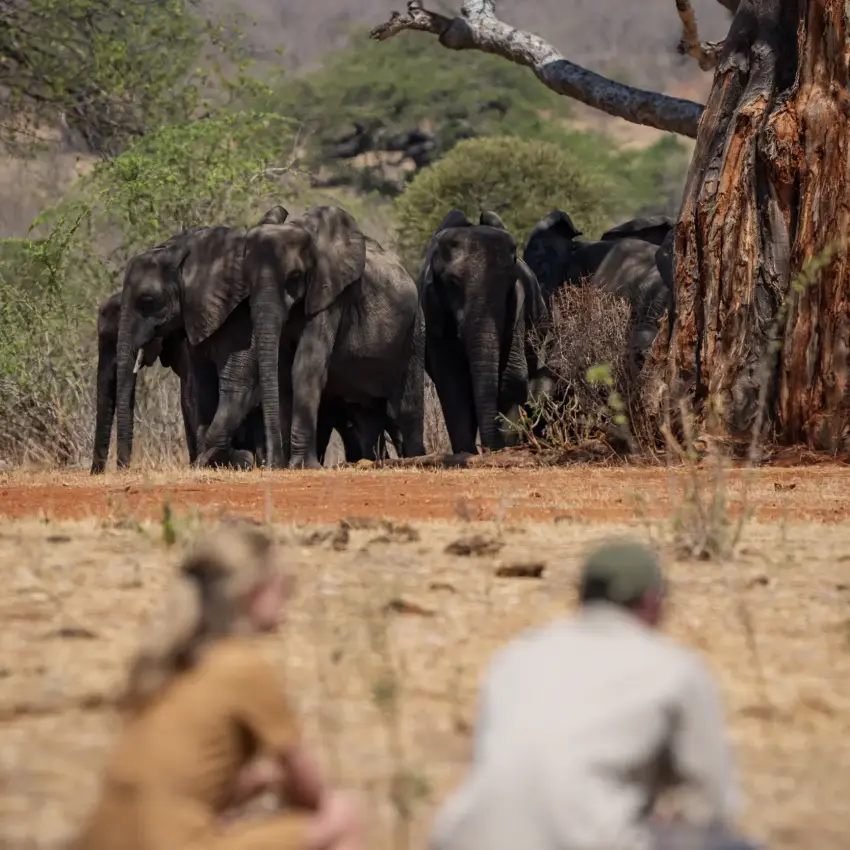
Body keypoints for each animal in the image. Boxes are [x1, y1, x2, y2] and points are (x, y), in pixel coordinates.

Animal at [241, 204, 426, 469]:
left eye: (295, 276)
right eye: (245, 279)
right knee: (367, 413)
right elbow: (281, 371)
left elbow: (306, 367)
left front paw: (302, 466)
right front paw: (284, 465)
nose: (270, 463)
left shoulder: (331, 298)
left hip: (415, 330)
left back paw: (417, 459)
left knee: (406, 410)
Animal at [420, 208, 549, 455]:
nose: (489, 448)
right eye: (452, 283)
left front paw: (506, 445)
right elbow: (451, 379)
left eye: (509, 282)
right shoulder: (434, 310)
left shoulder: (518, 304)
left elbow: (512, 373)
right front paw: (466, 453)